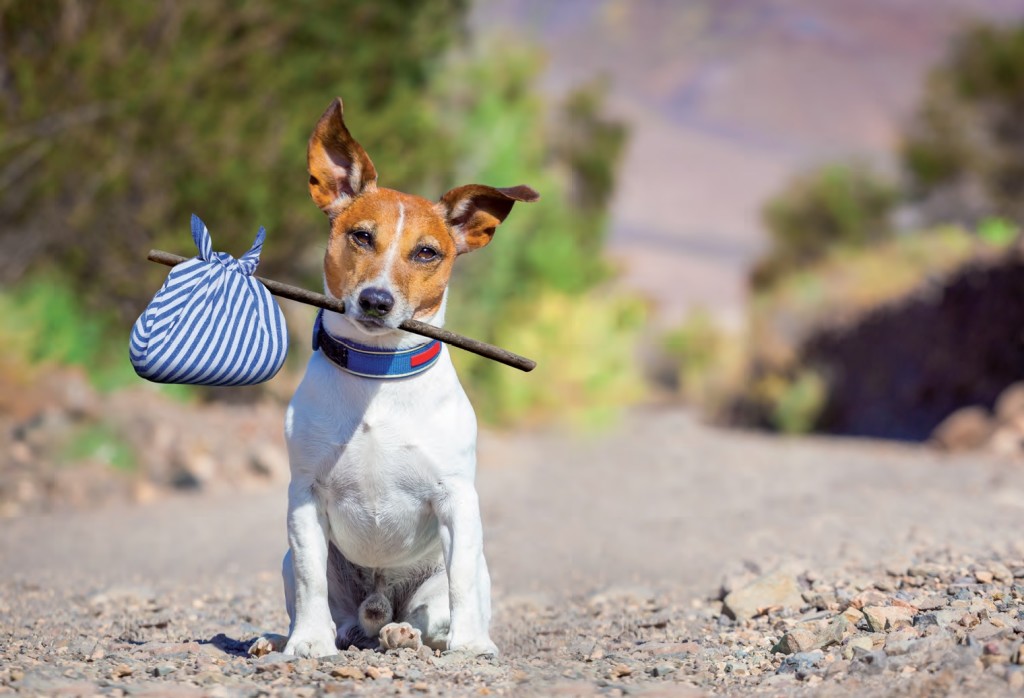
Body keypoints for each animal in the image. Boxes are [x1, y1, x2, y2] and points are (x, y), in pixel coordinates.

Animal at [249, 97, 536, 659]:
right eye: (362, 236)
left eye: (427, 252)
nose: (376, 301)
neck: (377, 373)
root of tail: (376, 608)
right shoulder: (304, 496)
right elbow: (312, 578)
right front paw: (307, 643)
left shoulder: (457, 499)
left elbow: (460, 581)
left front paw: (472, 645)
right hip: (299, 565)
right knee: (332, 610)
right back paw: (284, 638)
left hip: (450, 576)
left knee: (432, 613)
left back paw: (408, 634)